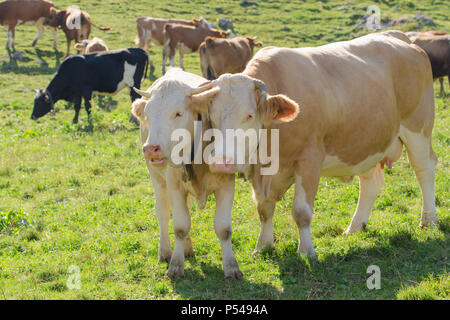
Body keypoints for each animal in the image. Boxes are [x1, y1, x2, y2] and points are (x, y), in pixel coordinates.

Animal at [131, 68, 243, 280]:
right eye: (148, 114)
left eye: (178, 113)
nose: (150, 149)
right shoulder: (174, 186)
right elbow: (180, 226)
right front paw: (175, 265)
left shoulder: (226, 185)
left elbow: (224, 229)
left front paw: (231, 267)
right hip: (156, 178)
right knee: (164, 212)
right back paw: (166, 251)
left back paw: (187, 249)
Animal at [187, 31, 440, 258]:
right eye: (212, 117)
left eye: (249, 115)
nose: (221, 162)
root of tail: (402, 38)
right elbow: (264, 209)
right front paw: (263, 246)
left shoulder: (310, 159)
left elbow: (301, 212)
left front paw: (307, 251)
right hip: (366, 141)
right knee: (371, 182)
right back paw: (355, 226)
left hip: (417, 128)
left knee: (424, 169)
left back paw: (429, 219)